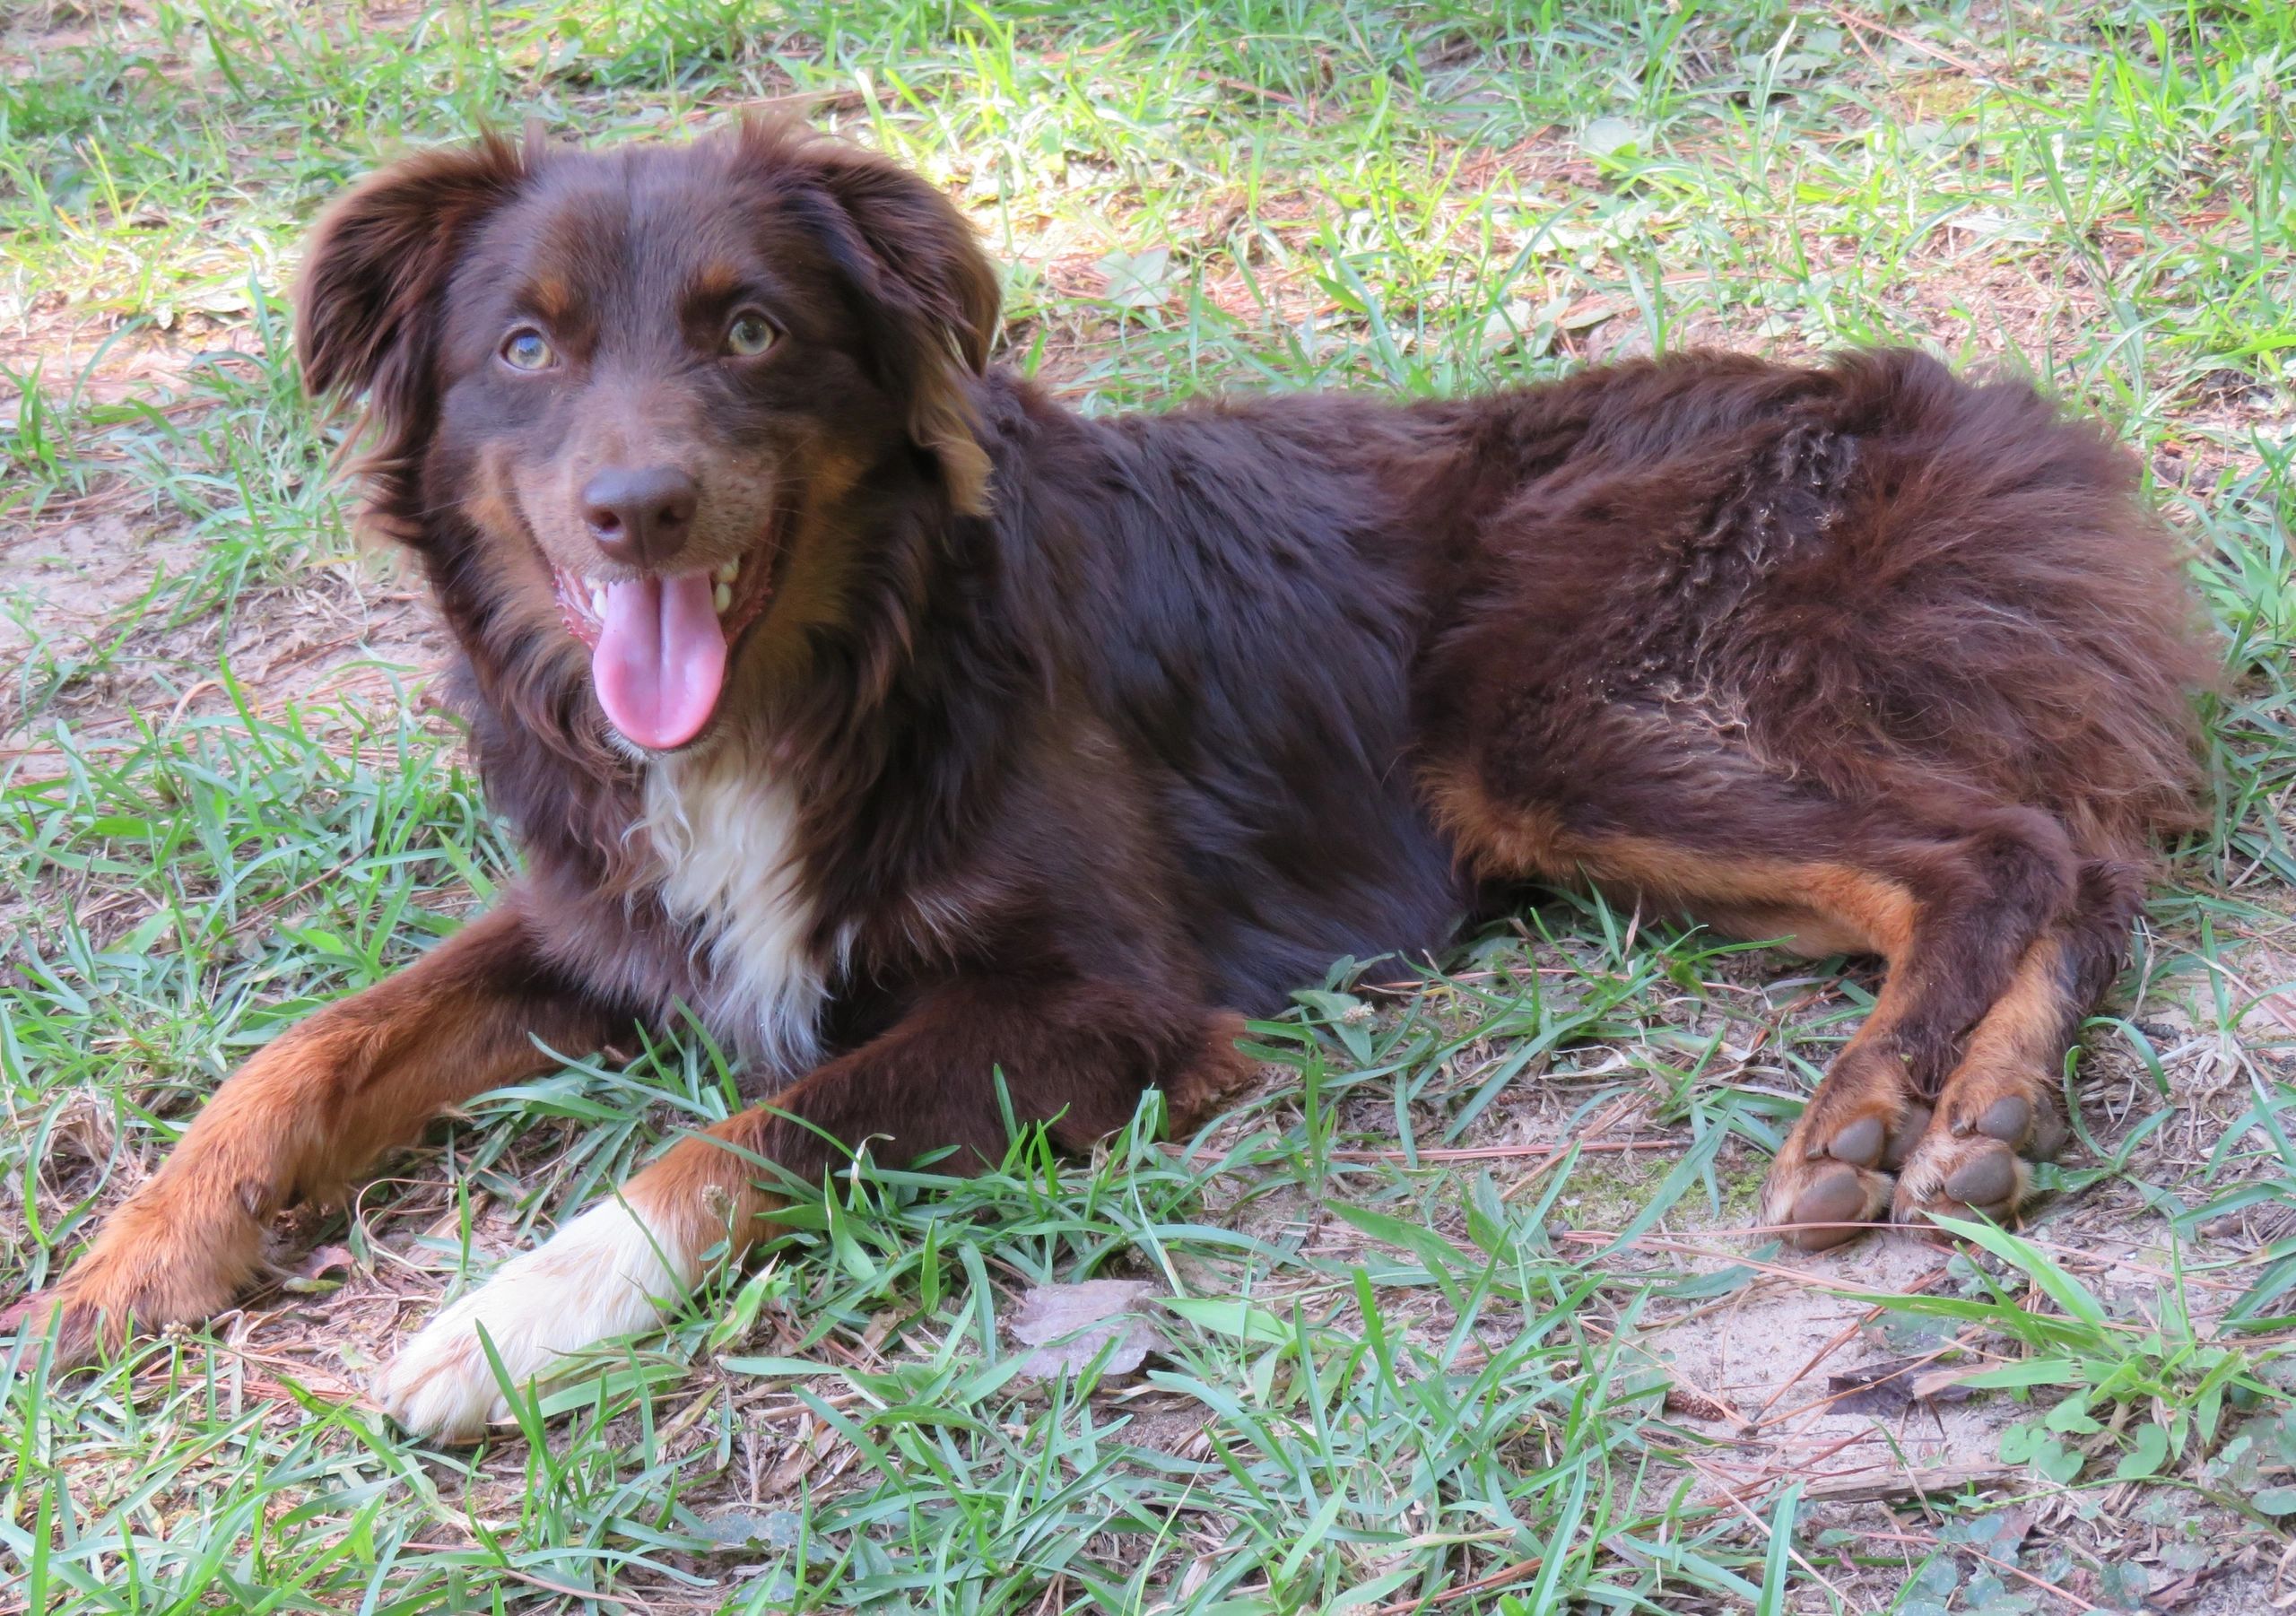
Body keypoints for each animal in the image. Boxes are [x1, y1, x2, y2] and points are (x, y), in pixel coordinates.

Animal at [18, 122, 2204, 1441]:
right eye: (526, 348)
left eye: (751, 330)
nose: (637, 509)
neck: (838, 670)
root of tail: (1971, 409)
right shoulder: (606, 917)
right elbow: (306, 1050)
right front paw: (121, 1268)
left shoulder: (1099, 1000)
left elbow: (749, 1133)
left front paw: (497, 1325)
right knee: (2070, 857)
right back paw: (1983, 1116)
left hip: (1533, 711)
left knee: (2002, 845)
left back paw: (1879, 1108)